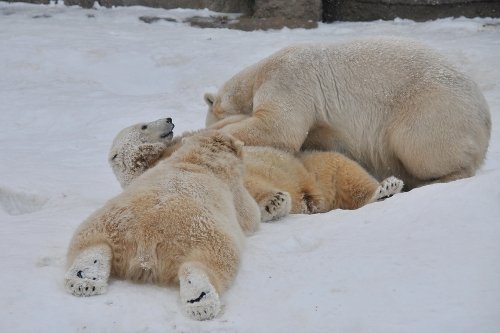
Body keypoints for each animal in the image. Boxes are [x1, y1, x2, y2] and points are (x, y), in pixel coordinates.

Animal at [108, 118, 402, 222]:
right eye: (144, 125)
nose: (169, 119)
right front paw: (273, 203)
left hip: (310, 165)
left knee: (345, 170)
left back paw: (386, 187)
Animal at [204, 37, 492, 188]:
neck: (255, 77)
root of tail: (485, 115)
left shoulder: (287, 78)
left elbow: (279, 127)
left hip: (433, 107)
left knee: (418, 146)